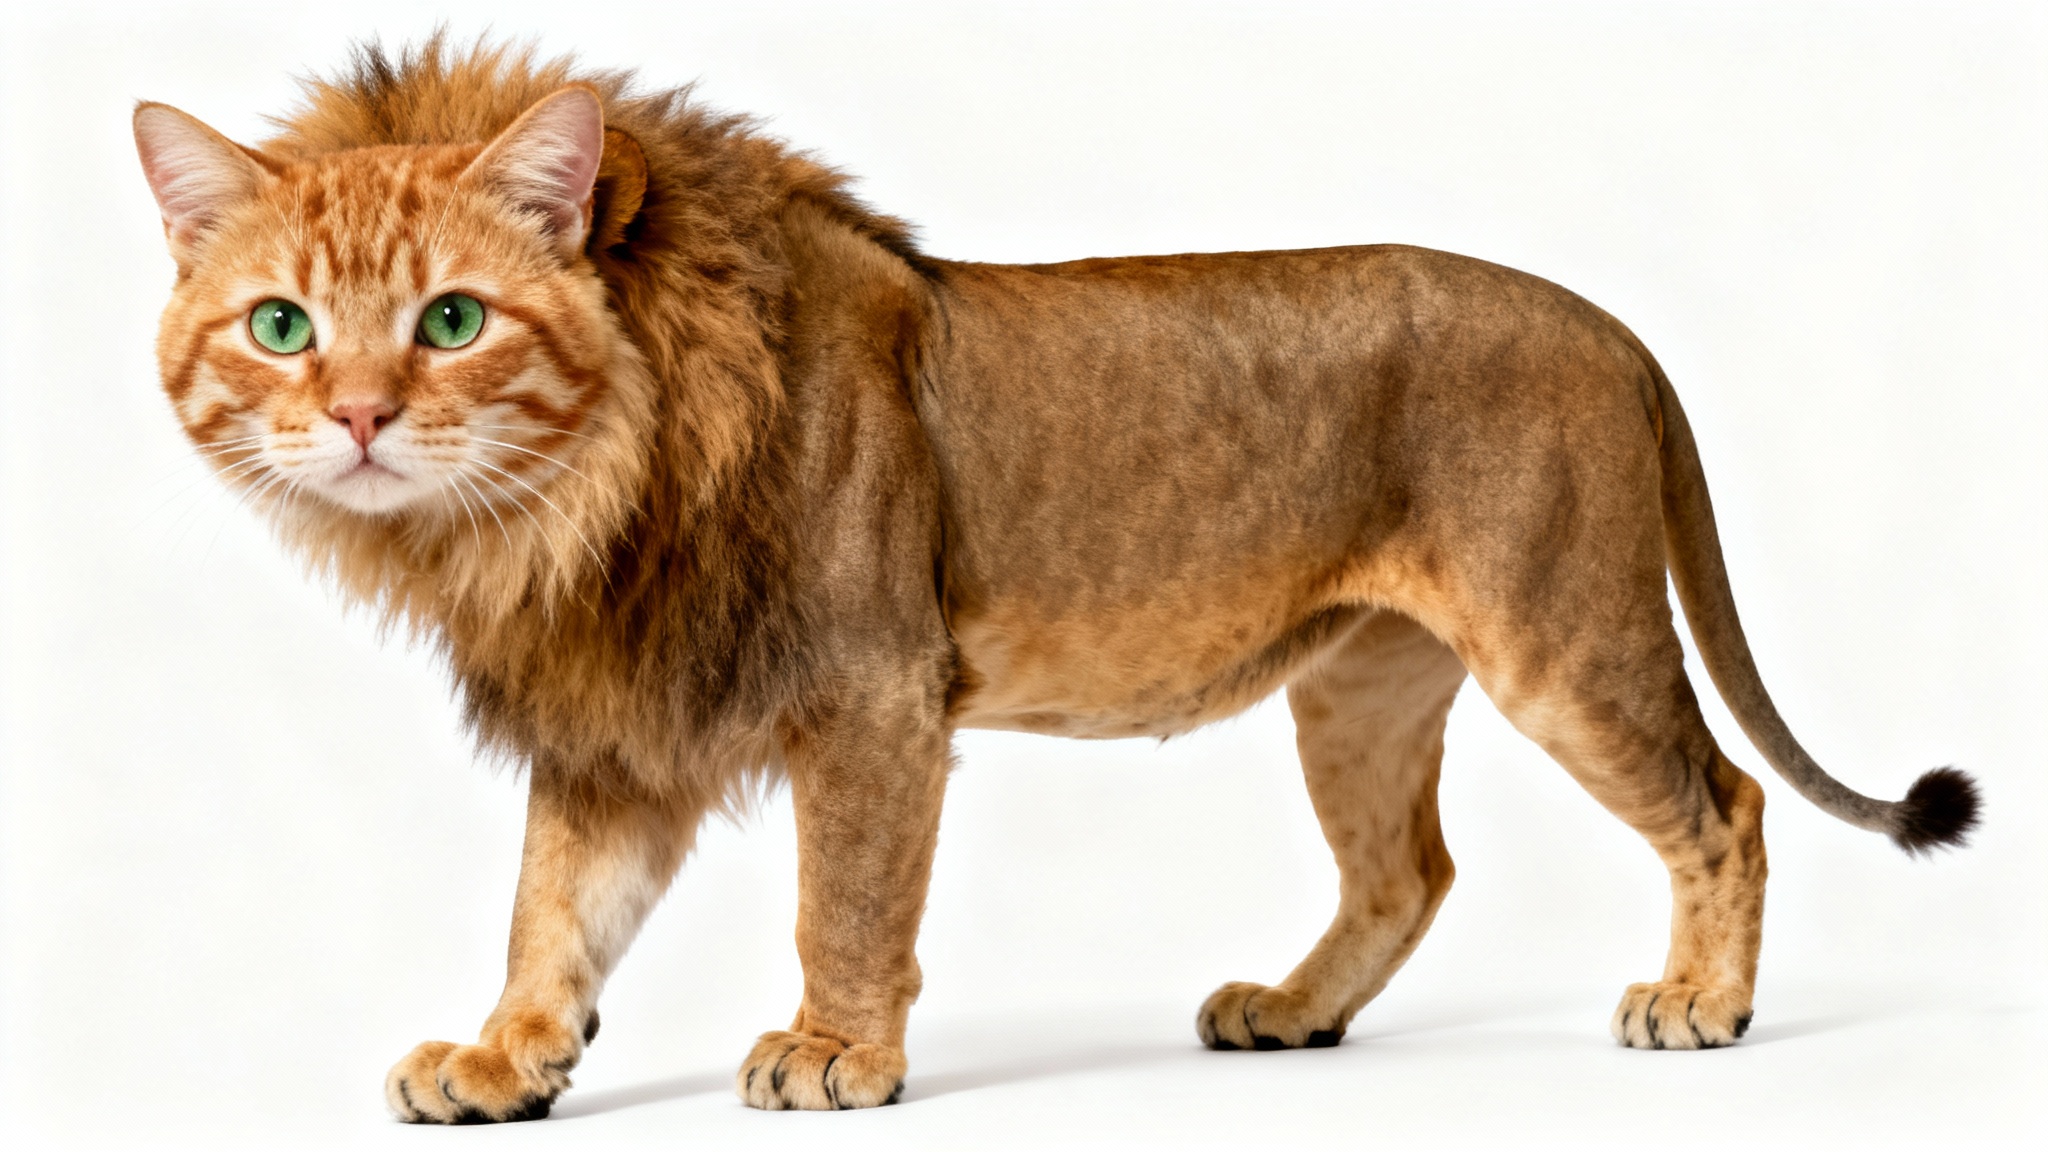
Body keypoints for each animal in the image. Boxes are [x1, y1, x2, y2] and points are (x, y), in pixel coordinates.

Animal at [130, 40, 1978, 1120]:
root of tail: (1615, 329)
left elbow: (845, 898)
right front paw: (508, 1059)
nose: (357, 418)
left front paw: (833, 1057)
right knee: (1410, 870)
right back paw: (1287, 1014)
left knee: (1723, 801)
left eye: (452, 317)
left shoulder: (873, 692)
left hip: (1559, 631)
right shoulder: (621, 716)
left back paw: (1701, 1007)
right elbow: (552, 907)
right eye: (280, 324)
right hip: (1358, 680)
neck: (574, 502)